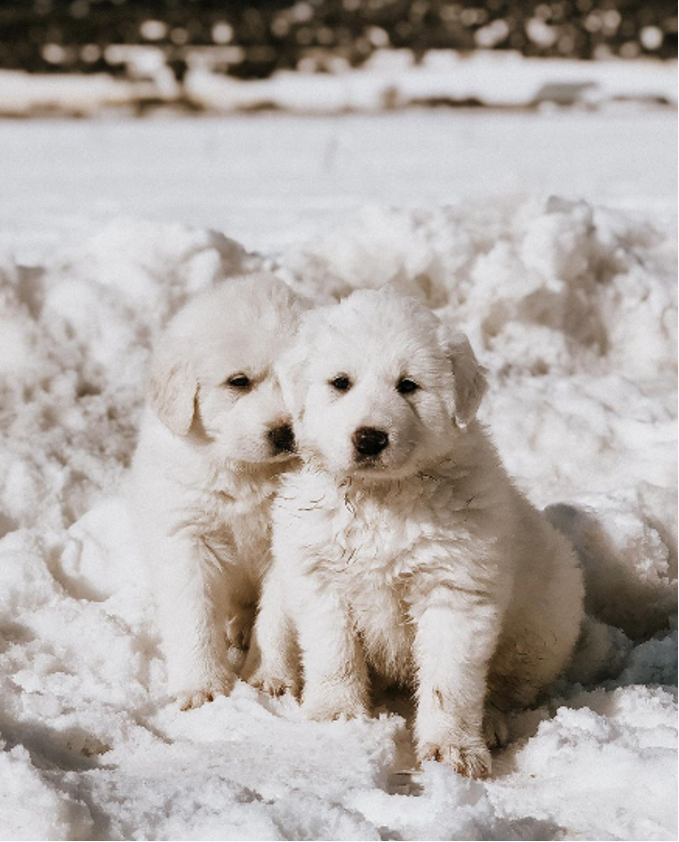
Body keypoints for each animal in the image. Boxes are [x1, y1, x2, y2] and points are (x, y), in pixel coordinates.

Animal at [131, 276, 306, 708]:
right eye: (238, 381)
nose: (285, 433)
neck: (247, 473)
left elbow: (276, 619)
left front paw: (269, 678)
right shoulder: (187, 538)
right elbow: (193, 615)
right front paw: (202, 686)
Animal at [252, 288, 588, 776]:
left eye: (408, 385)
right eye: (340, 382)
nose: (370, 438)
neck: (382, 498)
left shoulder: (455, 589)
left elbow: (450, 680)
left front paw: (452, 750)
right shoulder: (320, 578)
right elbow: (334, 654)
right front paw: (337, 718)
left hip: (547, 619)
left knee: (507, 686)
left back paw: (490, 722)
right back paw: (272, 681)